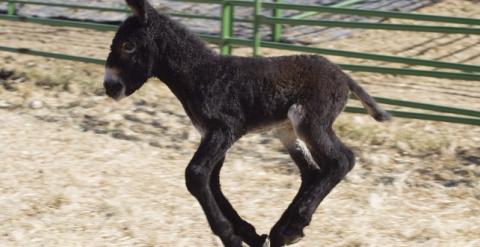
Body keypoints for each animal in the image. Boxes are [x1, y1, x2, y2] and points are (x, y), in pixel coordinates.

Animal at [104, 0, 390, 246]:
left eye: (128, 46)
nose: (109, 87)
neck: (202, 74)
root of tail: (342, 75)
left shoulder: (224, 130)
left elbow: (195, 175)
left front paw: (230, 237)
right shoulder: (211, 134)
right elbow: (212, 181)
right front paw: (249, 234)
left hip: (310, 122)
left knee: (341, 161)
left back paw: (290, 229)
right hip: (287, 129)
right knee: (313, 171)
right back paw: (282, 232)